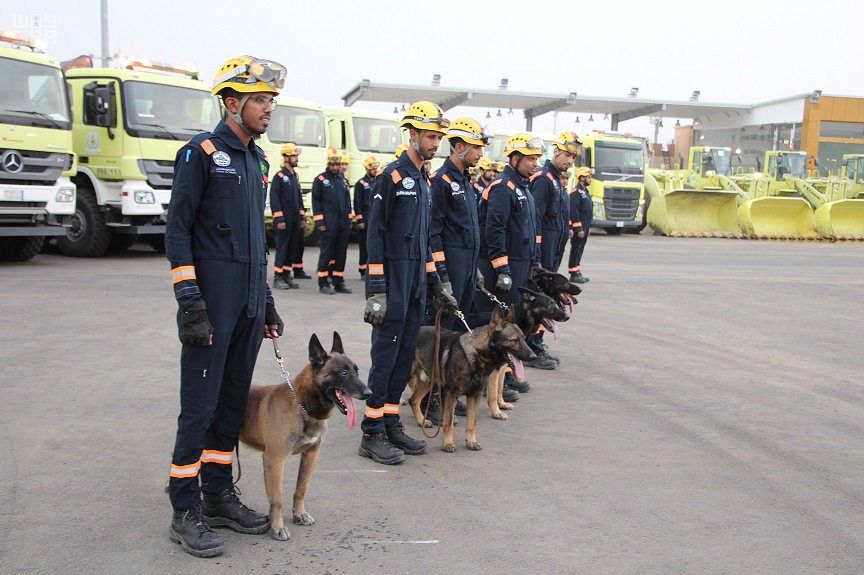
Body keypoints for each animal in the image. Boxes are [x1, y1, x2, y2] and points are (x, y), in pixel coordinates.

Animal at [238, 330, 370, 544]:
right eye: (343, 373)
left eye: (356, 371)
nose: (368, 393)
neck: (303, 407)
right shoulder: (274, 461)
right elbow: (277, 499)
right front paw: (277, 528)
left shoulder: (311, 454)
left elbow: (301, 489)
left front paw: (299, 514)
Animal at [404, 306, 532, 450]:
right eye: (515, 340)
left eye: (524, 339)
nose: (533, 356)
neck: (476, 354)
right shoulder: (451, 394)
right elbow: (448, 422)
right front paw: (448, 443)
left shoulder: (474, 396)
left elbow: (472, 423)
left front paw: (471, 441)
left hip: (428, 382)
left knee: (413, 400)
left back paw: (421, 420)